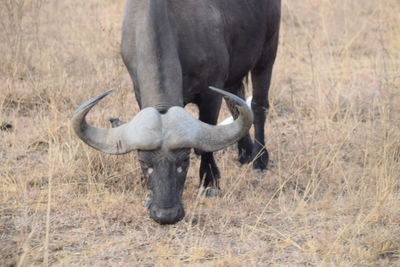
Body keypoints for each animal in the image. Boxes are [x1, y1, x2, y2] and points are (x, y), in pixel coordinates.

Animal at [74, 0, 282, 225]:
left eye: (184, 161)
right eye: (144, 163)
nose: (166, 215)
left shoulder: (211, 93)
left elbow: (206, 141)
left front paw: (209, 182)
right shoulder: (138, 90)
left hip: (268, 52)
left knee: (258, 106)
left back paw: (259, 159)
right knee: (236, 103)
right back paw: (245, 154)